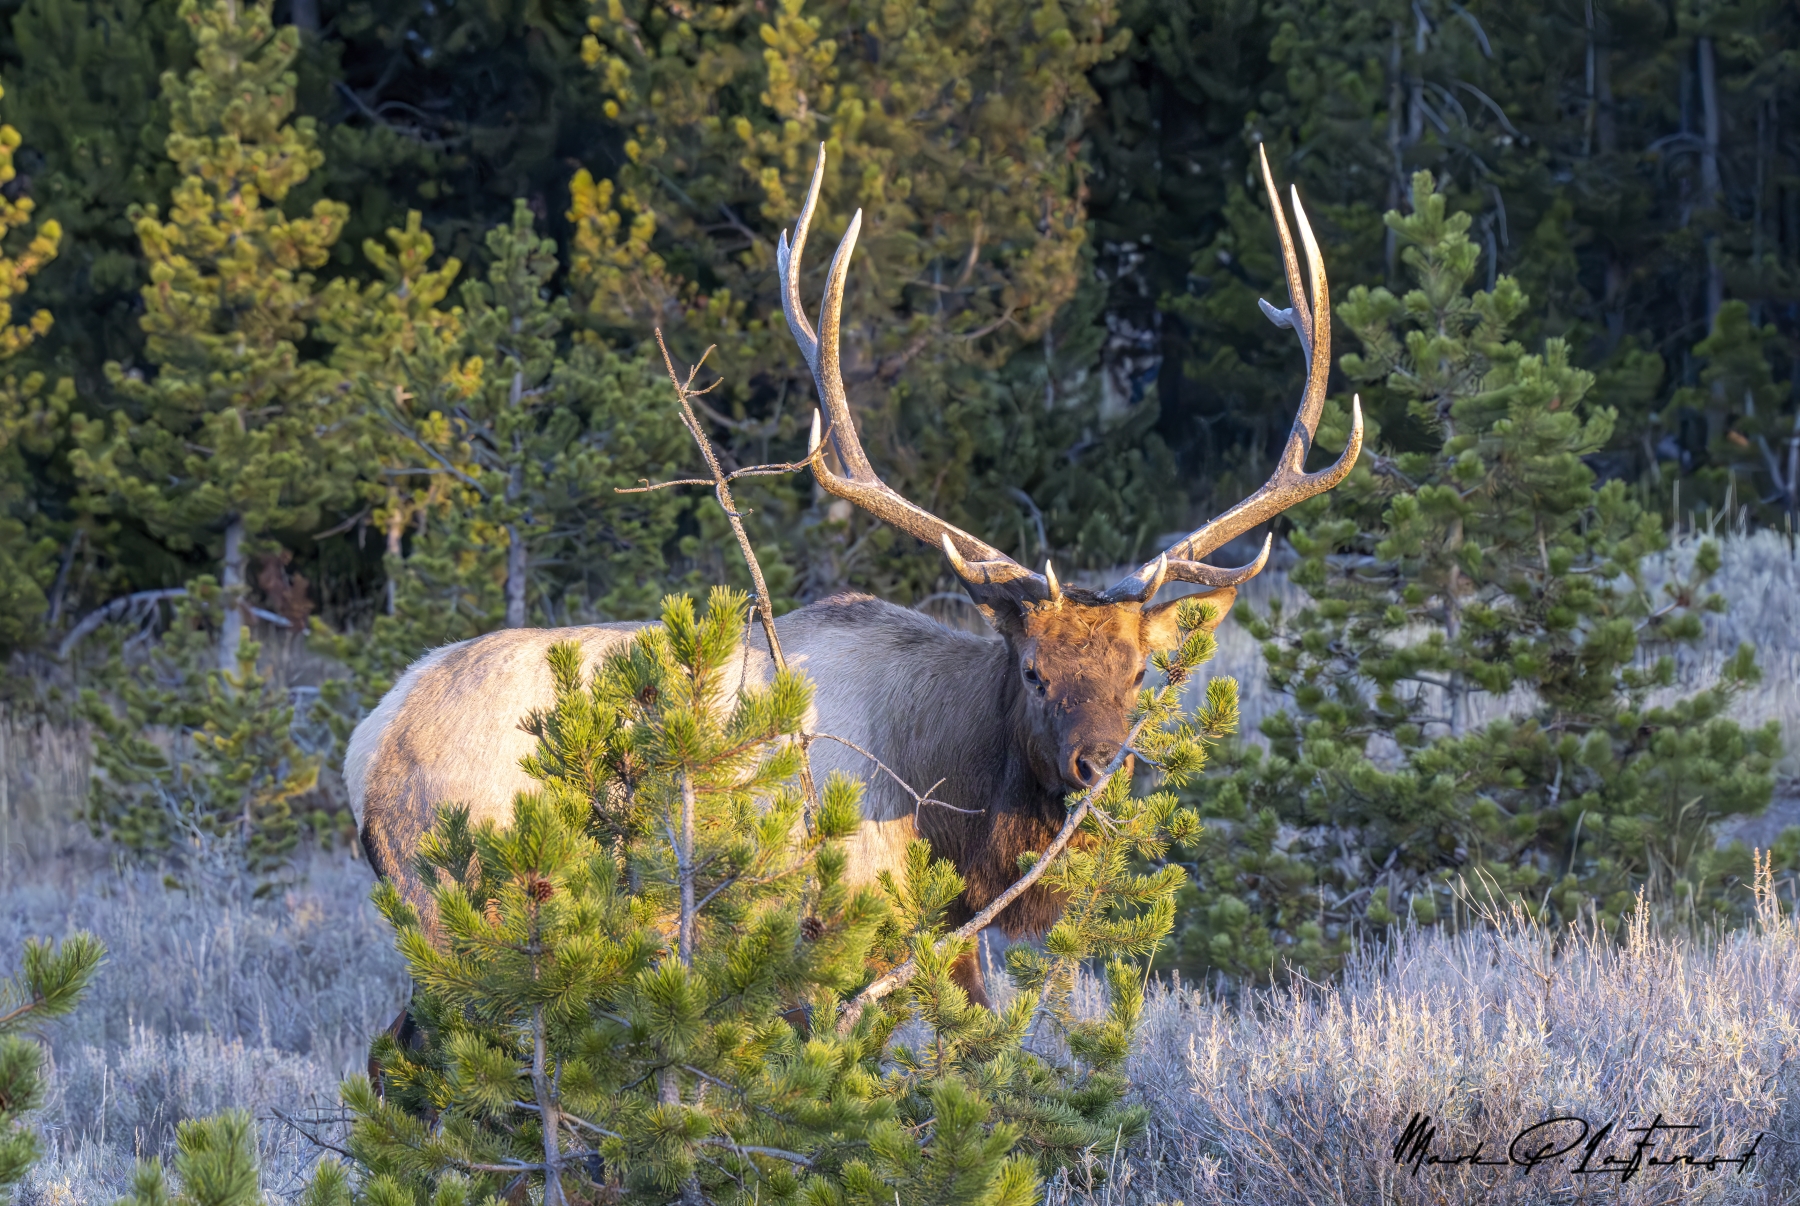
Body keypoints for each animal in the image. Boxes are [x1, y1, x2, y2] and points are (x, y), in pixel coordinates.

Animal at [345, 144, 1360, 1007]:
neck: (951, 812)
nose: (1099, 762)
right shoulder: (829, 934)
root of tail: (367, 743)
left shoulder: (947, 933)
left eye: (1141, 672)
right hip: (460, 907)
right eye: (1034, 671)